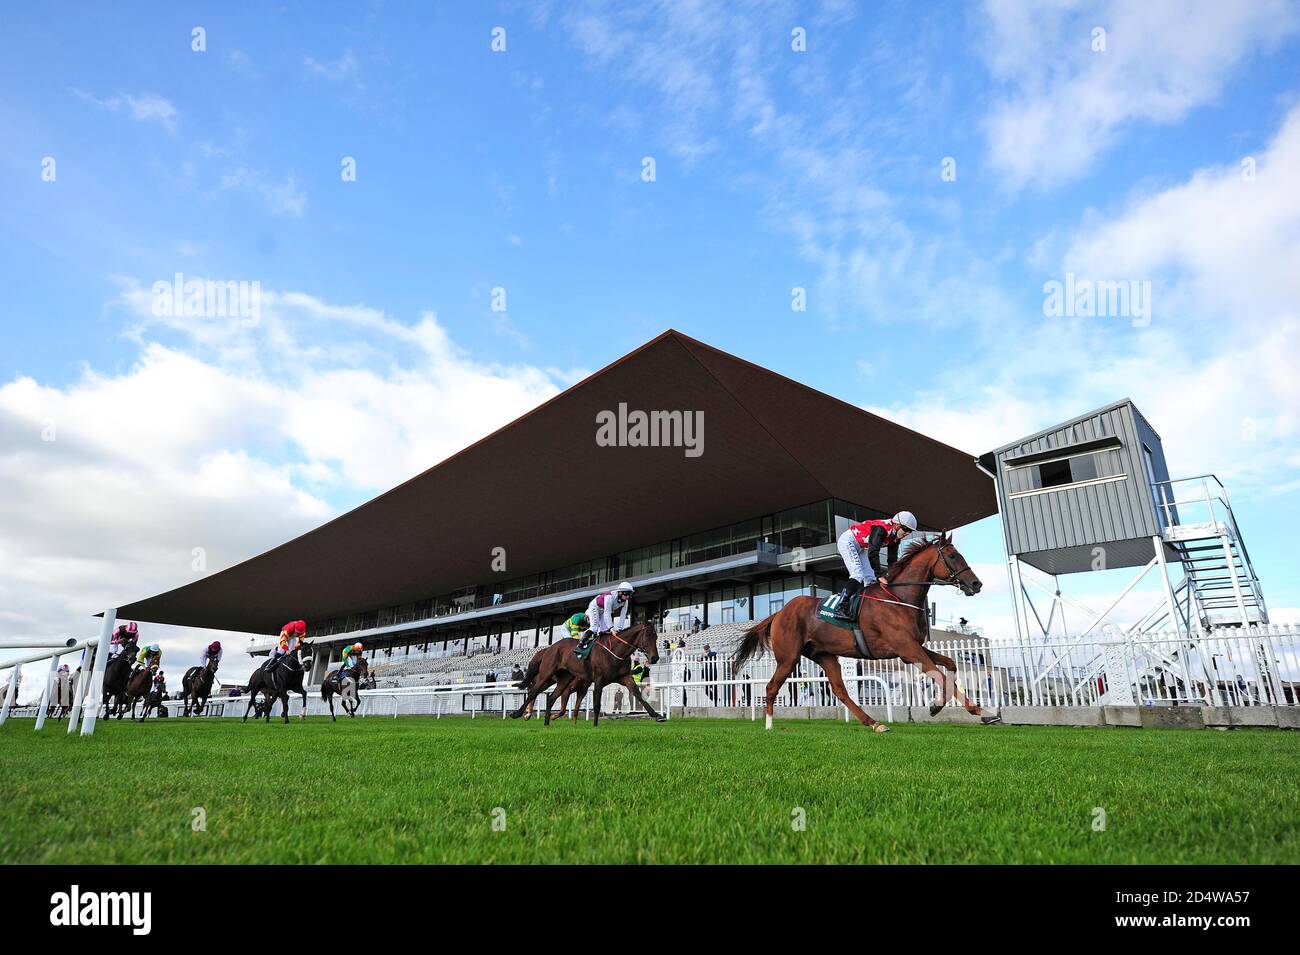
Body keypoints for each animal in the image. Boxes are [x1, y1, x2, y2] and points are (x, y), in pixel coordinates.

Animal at [509, 621, 665, 722]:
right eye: (647, 636)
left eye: (656, 636)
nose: (655, 657)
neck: (615, 650)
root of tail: (548, 648)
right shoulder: (598, 681)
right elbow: (595, 705)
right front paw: (595, 726)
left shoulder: (625, 677)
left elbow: (638, 694)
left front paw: (657, 715)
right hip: (546, 674)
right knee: (533, 691)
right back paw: (519, 713)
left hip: (562, 679)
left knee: (550, 697)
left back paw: (544, 720)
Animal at [738, 535, 998, 738]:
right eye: (953, 556)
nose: (976, 583)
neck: (899, 598)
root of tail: (779, 612)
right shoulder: (907, 649)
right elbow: (940, 676)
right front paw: (980, 713)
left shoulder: (913, 648)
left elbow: (950, 665)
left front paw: (941, 707)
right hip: (788, 657)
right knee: (771, 687)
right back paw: (769, 725)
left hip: (825, 655)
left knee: (840, 690)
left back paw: (874, 723)